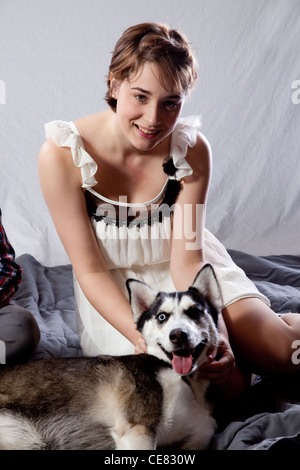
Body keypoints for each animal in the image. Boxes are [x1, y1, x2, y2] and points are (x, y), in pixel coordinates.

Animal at [0, 262, 220, 450]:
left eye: (195, 311)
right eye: (162, 316)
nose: (178, 335)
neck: (187, 381)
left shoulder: (197, 438)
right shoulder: (137, 431)